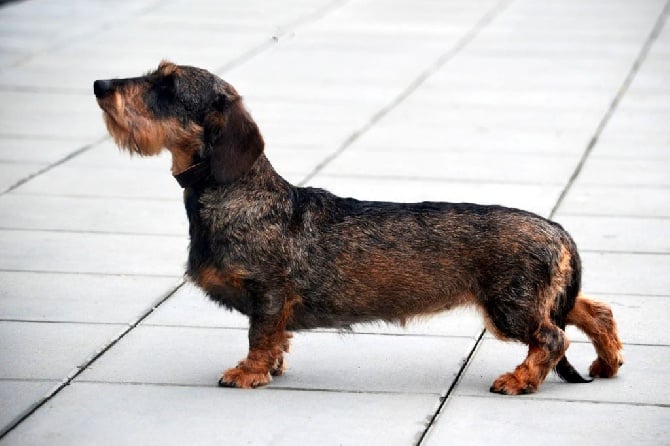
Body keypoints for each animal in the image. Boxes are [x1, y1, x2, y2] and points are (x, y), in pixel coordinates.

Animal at [93, 61, 624, 394]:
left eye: (167, 86)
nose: (99, 85)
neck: (242, 193)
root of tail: (556, 229)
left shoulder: (268, 291)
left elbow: (259, 336)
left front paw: (248, 373)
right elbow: (275, 338)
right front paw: (272, 366)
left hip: (510, 306)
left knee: (552, 339)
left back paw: (519, 380)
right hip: (540, 297)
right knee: (593, 311)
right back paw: (608, 361)